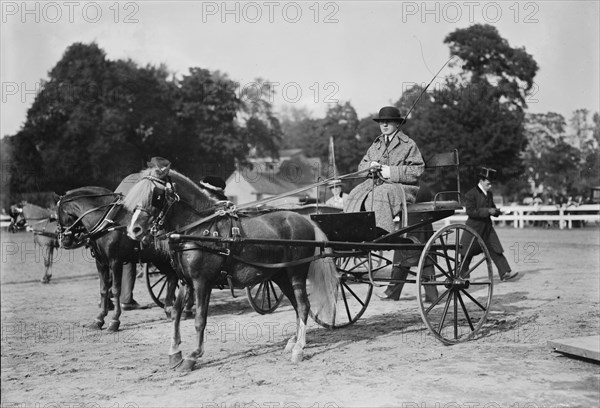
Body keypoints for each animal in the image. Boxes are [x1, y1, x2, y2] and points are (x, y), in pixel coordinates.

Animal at [57, 185, 182, 332]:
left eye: (57, 214)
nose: (64, 241)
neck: (108, 221)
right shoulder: (101, 263)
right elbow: (104, 290)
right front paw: (99, 319)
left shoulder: (115, 262)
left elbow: (116, 290)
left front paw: (114, 320)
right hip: (159, 259)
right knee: (172, 277)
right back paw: (169, 309)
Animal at [123, 165, 338, 370]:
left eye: (156, 195)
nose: (133, 230)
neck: (197, 230)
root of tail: (305, 220)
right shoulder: (186, 281)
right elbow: (176, 313)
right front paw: (174, 353)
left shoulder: (202, 282)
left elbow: (200, 319)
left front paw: (193, 356)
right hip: (281, 275)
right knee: (296, 305)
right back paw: (294, 341)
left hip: (296, 273)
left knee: (303, 306)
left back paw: (299, 349)